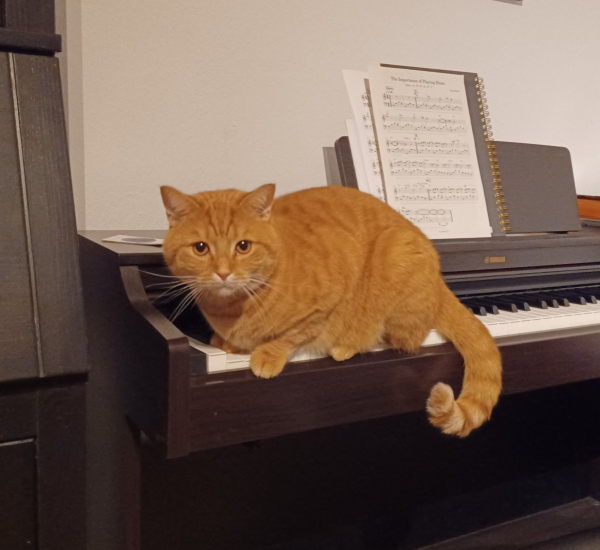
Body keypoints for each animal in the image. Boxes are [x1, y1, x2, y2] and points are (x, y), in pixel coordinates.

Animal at [161, 187, 502, 440]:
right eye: (201, 248)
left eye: (243, 246)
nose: (223, 273)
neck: (232, 309)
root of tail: (442, 281)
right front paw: (226, 343)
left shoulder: (328, 295)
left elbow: (293, 334)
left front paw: (267, 355)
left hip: (394, 254)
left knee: (403, 338)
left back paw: (347, 345)